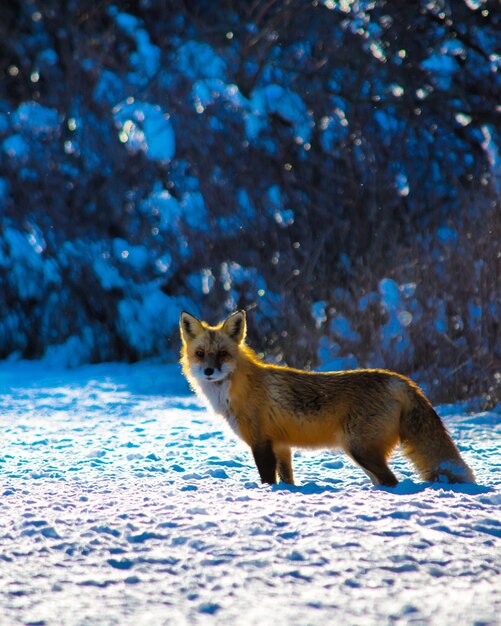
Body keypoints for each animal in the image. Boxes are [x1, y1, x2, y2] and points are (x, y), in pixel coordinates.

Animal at [178, 310, 474, 486]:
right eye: (201, 354)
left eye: (223, 354)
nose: (209, 371)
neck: (238, 389)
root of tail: (399, 379)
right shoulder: (281, 446)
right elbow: (287, 480)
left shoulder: (260, 443)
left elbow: (268, 481)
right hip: (363, 452)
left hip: (359, 449)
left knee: (392, 481)